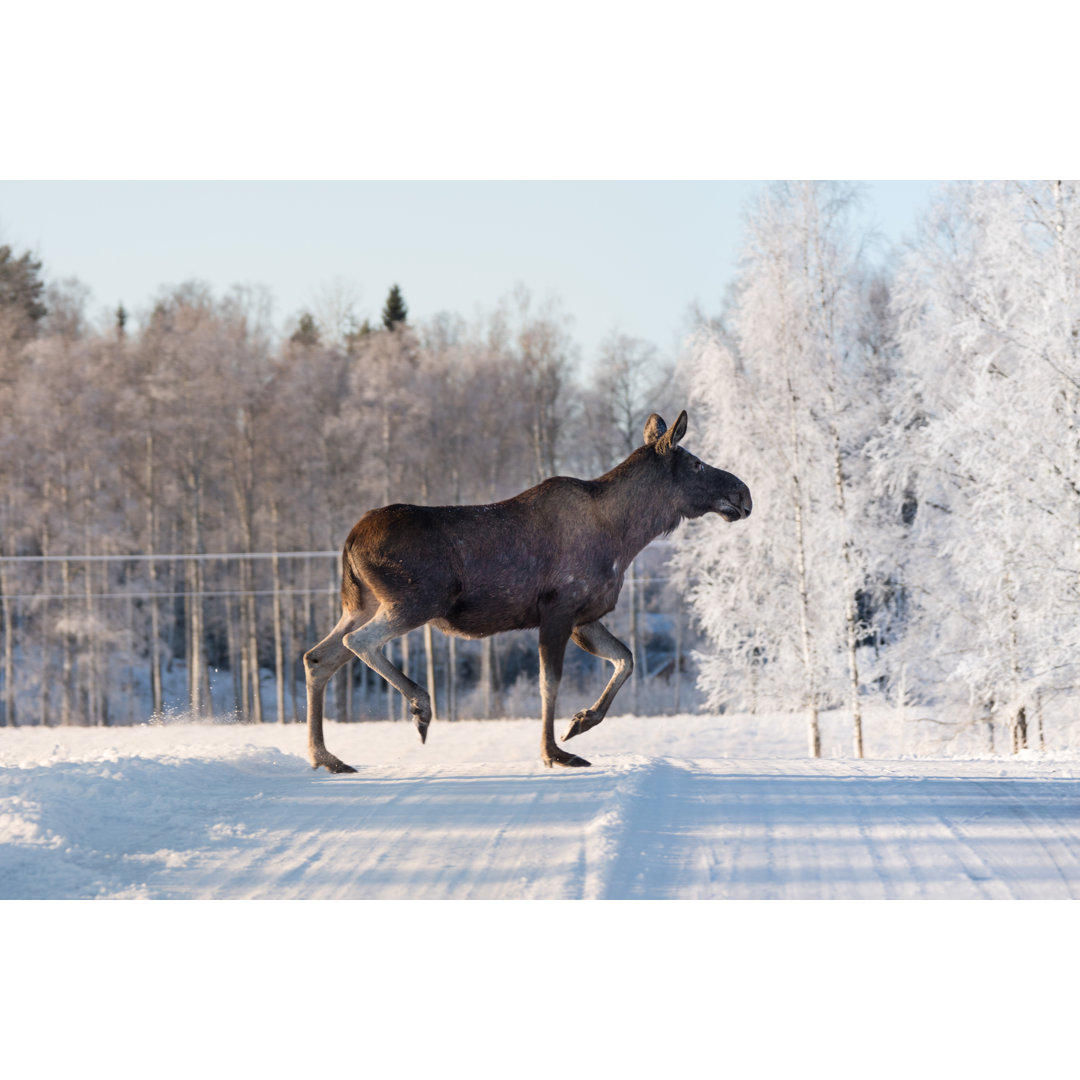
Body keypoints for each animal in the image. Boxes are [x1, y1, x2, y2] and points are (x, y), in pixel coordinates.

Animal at [304, 408, 751, 773]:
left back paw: (326, 756)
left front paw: (580, 722)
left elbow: (626, 659)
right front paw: (554, 752)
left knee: (317, 658)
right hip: (416, 600)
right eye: (696, 463)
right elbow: (549, 682)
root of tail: (349, 540)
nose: (743, 493)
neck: (628, 536)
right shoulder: (559, 609)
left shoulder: (583, 617)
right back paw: (420, 706)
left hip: (360, 604)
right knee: (359, 642)